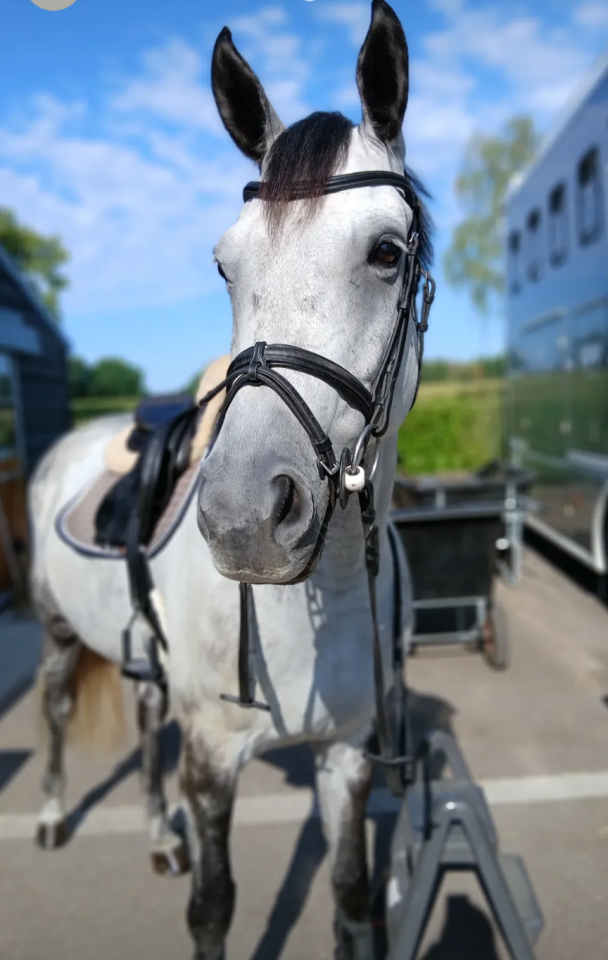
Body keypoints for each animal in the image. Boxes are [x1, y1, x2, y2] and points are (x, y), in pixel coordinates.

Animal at [28, 2, 433, 957]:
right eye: (223, 265)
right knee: (57, 712)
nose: (245, 517)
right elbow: (213, 906)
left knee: (145, 729)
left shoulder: (348, 752)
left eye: (386, 251)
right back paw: (56, 815)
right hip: (58, 633)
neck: (321, 598)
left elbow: (351, 892)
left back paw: (154, 836)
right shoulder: (213, 760)